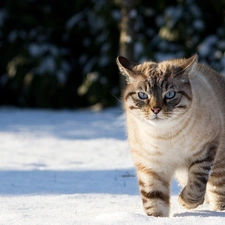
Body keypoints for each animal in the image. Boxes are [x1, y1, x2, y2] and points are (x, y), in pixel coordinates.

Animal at [117, 54, 225, 216]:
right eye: (142, 95)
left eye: (170, 94)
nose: (156, 109)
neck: (164, 136)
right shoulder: (150, 168)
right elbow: (154, 201)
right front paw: (156, 219)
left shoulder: (205, 151)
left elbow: (196, 187)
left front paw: (184, 201)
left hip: (219, 168)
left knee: (217, 193)